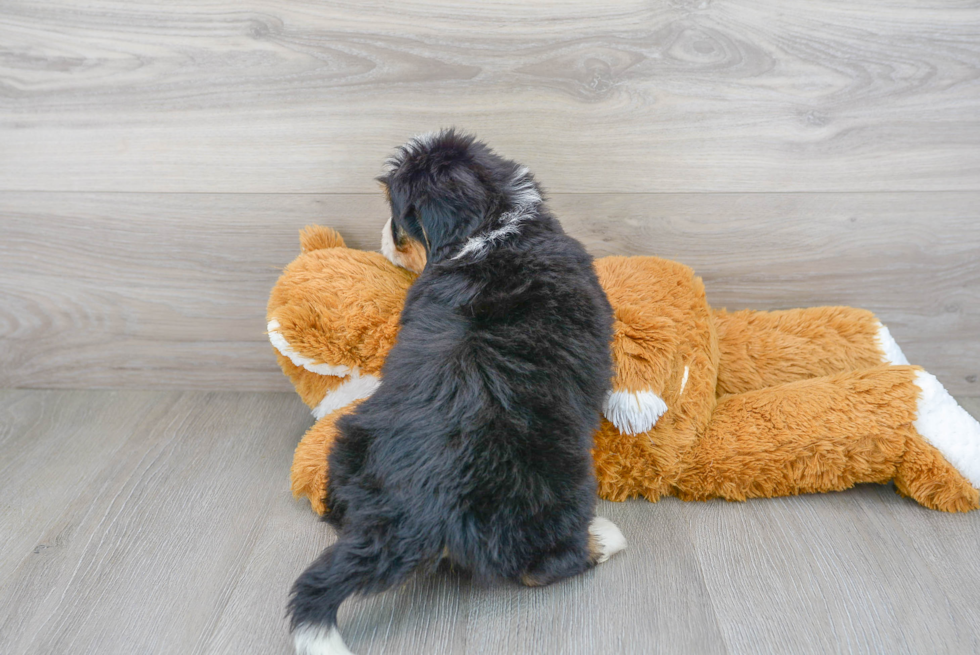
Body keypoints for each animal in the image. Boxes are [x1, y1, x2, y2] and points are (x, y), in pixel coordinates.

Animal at [290, 131, 624, 652]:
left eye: (399, 219)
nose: (384, 237)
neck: (492, 229)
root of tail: (415, 508)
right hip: (555, 487)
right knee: (539, 566)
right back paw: (603, 538)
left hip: (350, 441)